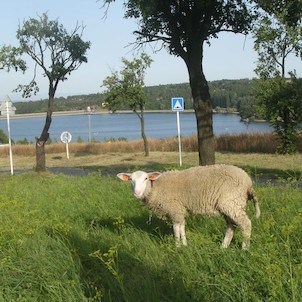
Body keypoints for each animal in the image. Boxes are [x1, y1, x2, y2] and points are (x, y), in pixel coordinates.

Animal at [117, 164, 260, 249]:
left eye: (146, 178)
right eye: (131, 180)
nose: (137, 193)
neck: (155, 188)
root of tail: (248, 182)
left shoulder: (175, 209)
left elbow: (176, 230)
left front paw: (177, 247)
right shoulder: (181, 211)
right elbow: (182, 228)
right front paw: (185, 245)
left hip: (232, 202)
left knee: (246, 224)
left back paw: (244, 248)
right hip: (230, 206)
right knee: (231, 226)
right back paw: (223, 247)